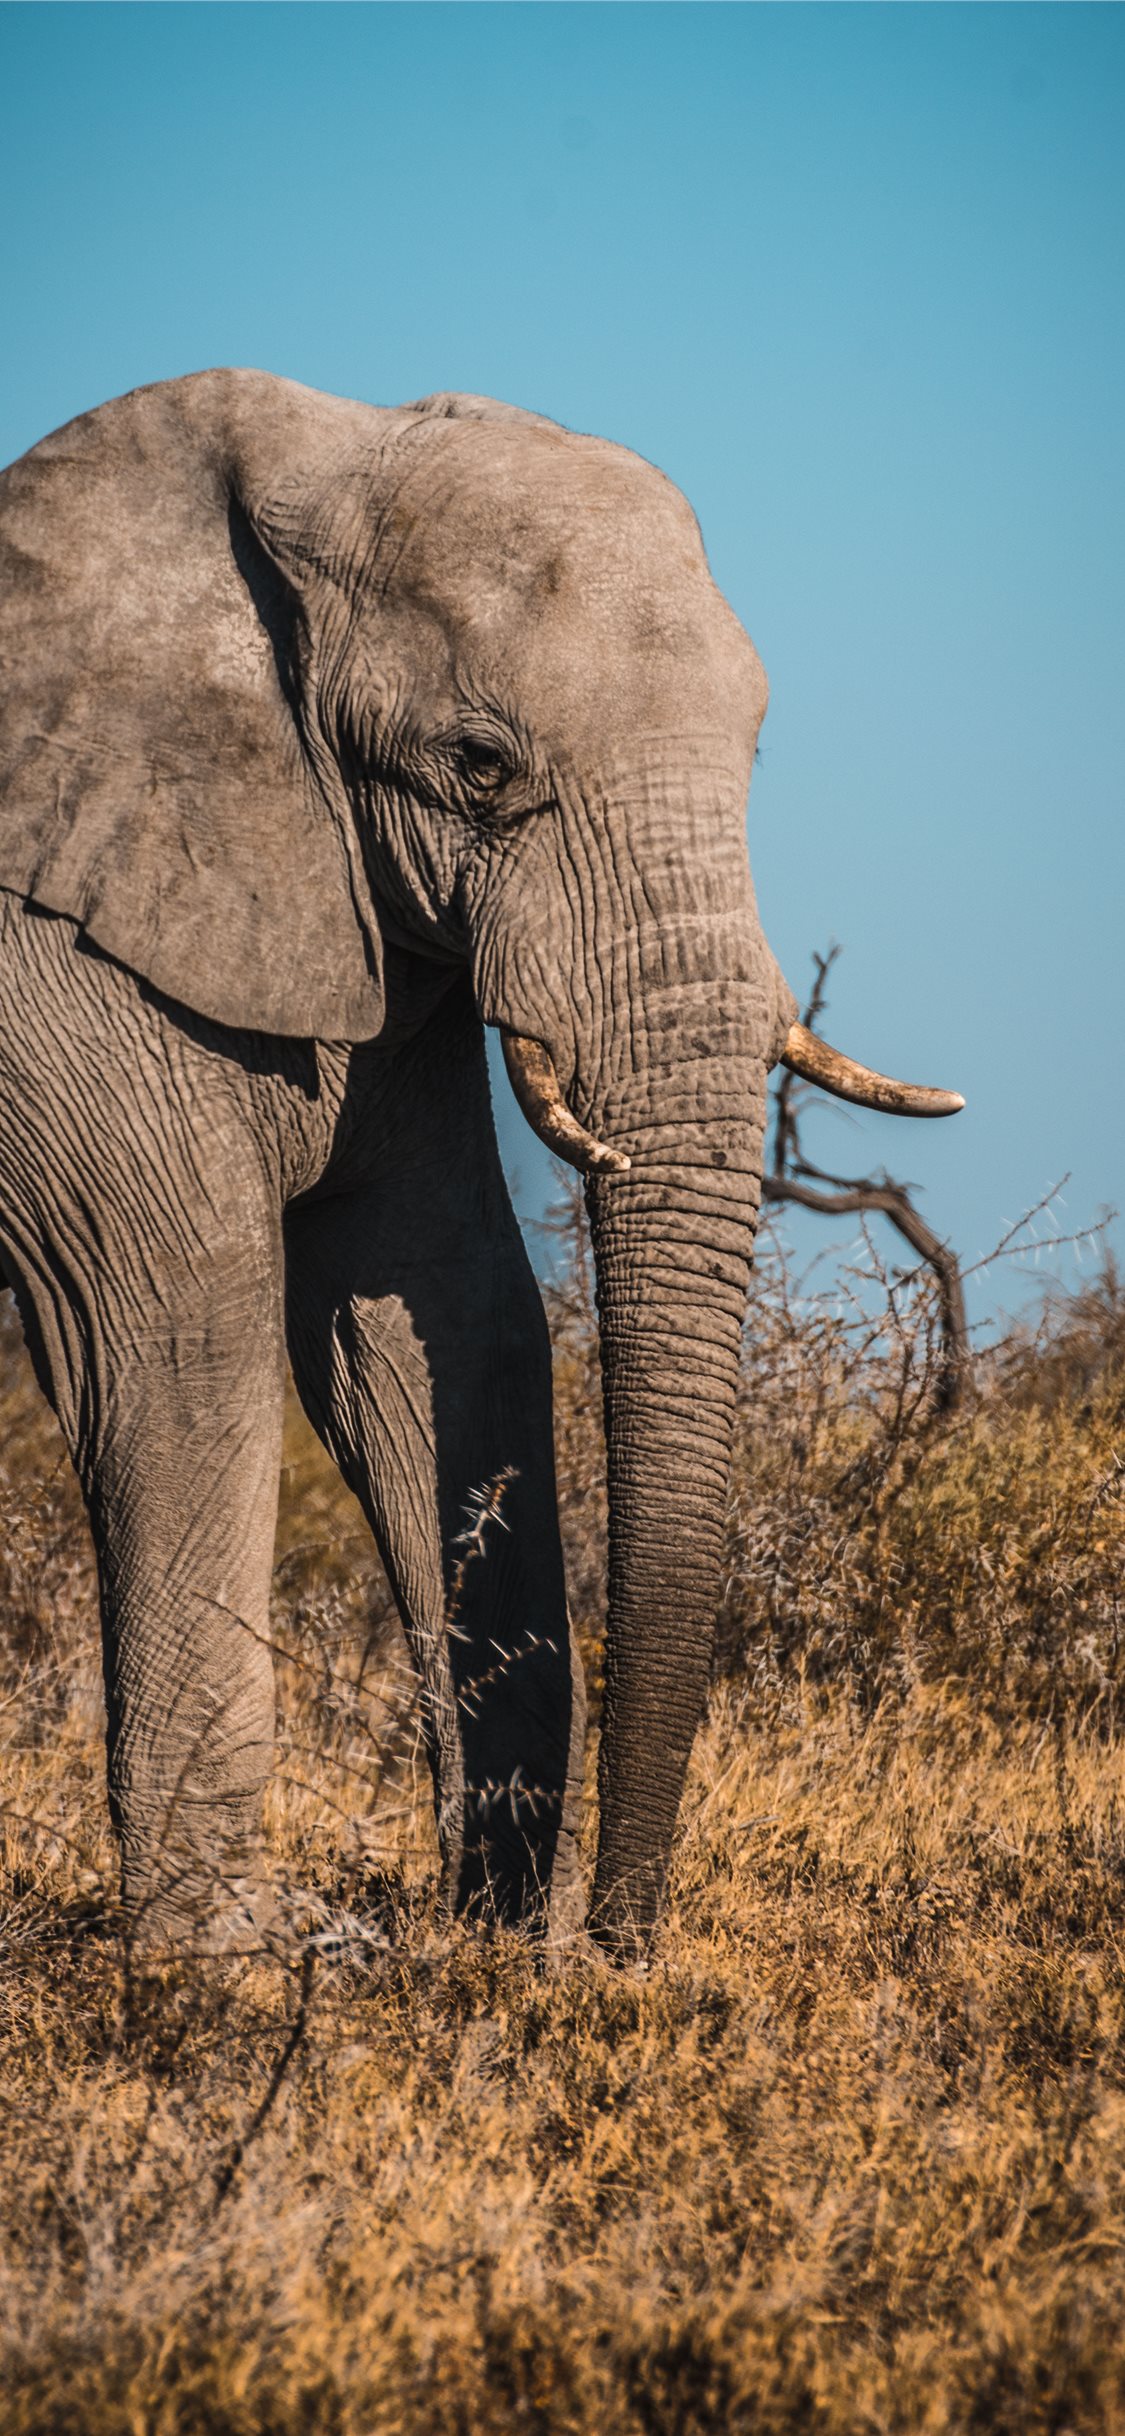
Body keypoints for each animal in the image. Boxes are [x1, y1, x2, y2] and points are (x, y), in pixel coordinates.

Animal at [0, 375, 964, 1958]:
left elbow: (440, 1307)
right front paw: (217, 1965)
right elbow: (177, 1330)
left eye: (756, 751)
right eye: (480, 767)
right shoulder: (51, 953)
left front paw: (482, 1944)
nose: (616, 1946)